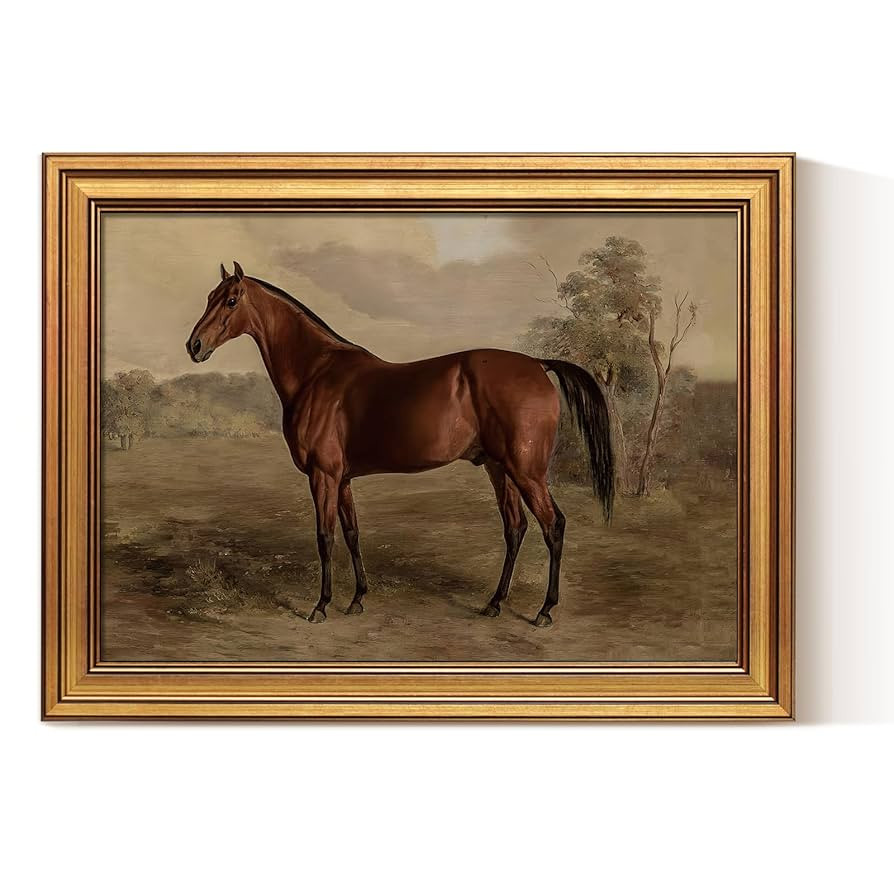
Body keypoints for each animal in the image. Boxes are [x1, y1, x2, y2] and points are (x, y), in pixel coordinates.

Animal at [186, 262, 614, 627]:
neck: (316, 373)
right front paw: (357, 599)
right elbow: (352, 533)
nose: (194, 346)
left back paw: (545, 610)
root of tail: (538, 364)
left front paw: (321, 606)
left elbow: (325, 537)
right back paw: (494, 603)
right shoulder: (342, 479)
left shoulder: (323, 476)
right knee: (515, 527)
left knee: (552, 525)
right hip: (499, 468)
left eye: (231, 300)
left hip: (527, 472)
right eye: (208, 296)